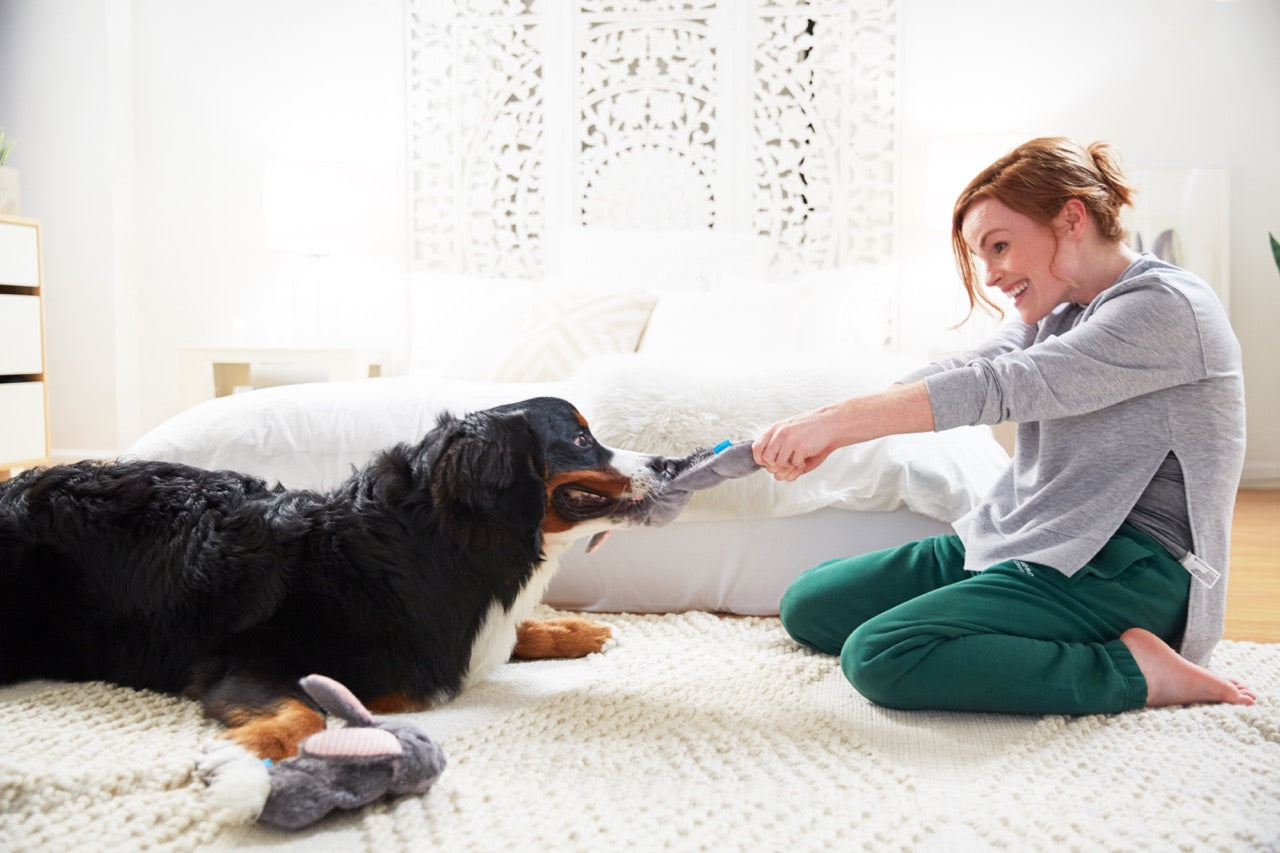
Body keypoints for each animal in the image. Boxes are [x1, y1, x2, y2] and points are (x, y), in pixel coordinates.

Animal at [0, 394, 701, 758]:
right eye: (581, 442)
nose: (669, 464)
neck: (436, 547)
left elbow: (511, 634)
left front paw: (576, 630)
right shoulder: (246, 659)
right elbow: (302, 716)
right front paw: (245, 758)